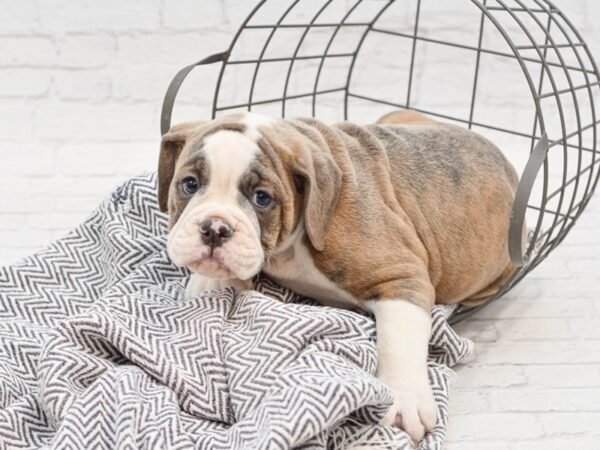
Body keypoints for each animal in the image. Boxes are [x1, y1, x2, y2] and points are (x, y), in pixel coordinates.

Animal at [159, 110, 520, 444]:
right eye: (189, 184)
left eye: (262, 198)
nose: (215, 228)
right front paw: (207, 284)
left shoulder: (402, 278)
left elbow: (399, 341)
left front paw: (404, 400)